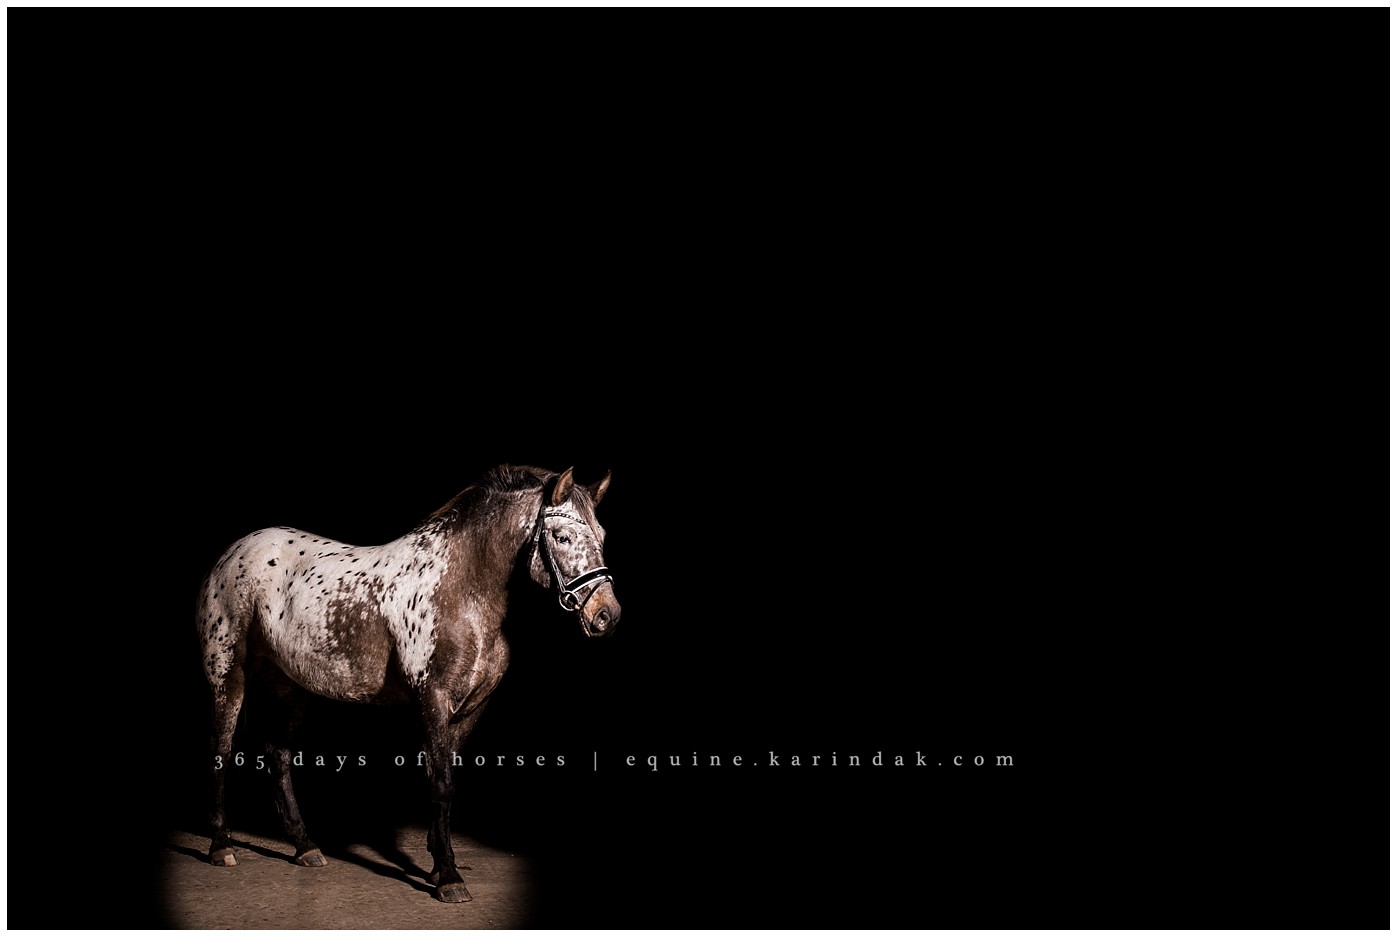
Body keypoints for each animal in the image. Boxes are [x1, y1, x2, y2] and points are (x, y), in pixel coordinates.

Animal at [195, 464, 620, 903]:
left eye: (602, 535)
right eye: (562, 536)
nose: (606, 615)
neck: (461, 591)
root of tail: (233, 553)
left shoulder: (470, 708)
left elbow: (445, 776)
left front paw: (437, 862)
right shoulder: (432, 699)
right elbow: (441, 781)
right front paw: (448, 876)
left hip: (289, 687)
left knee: (277, 758)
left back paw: (305, 846)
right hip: (227, 676)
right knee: (220, 750)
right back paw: (221, 846)